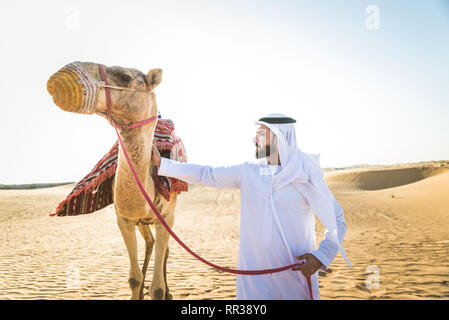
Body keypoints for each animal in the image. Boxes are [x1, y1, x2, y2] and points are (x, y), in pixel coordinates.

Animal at [46, 62, 176, 300]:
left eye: (125, 77)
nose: (62, 76)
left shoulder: (167, 217)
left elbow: (158, 288)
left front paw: (161, 290)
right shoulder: (124, 219)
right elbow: (134, 279)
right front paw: (138, 290)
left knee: (165, 251)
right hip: (142, 222)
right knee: (150, 243)